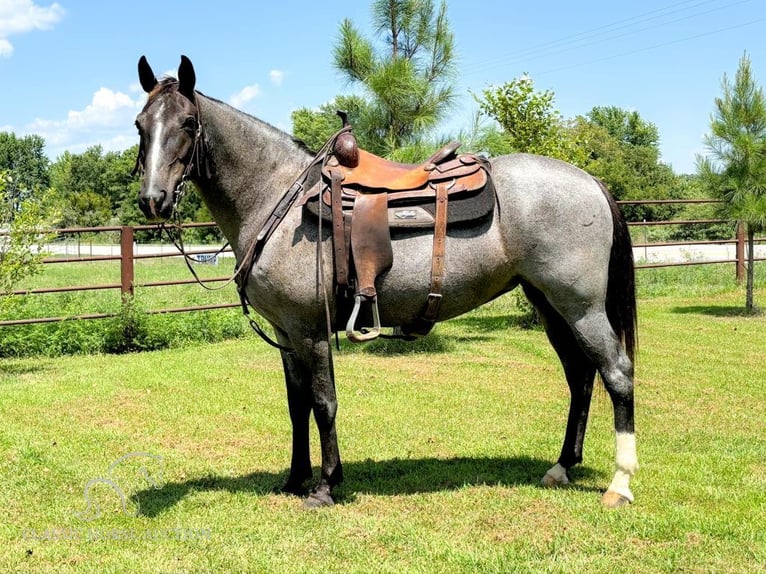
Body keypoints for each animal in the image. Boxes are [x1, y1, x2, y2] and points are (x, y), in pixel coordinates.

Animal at [135, 56, 640, 510]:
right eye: (141, 125)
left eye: (187, 123)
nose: (152, 200)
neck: (277, 197)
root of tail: (591, 181)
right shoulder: (287, 332)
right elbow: (297, 405)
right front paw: (295, 479)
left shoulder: (311, 331)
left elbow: (323, 403)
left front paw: (325, 485)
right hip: (550, 304)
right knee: (580, 376)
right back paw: (562, 466)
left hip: (581, 307)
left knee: (616, 374)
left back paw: (619, 484)